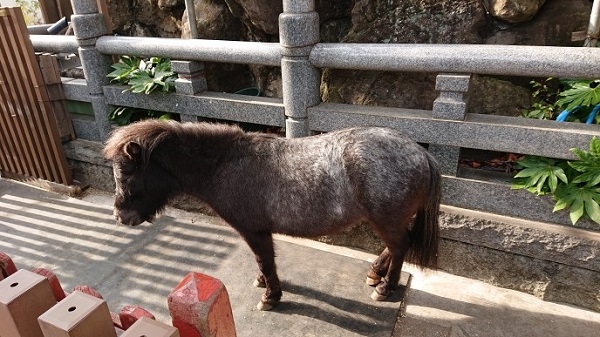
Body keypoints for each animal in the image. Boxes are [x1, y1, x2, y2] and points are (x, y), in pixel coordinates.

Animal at [103, 120, 440, 310]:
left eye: (127, 178)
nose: (121, 217)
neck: (226, 165)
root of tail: (420, 152)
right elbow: (262, 262)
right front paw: (264, 283)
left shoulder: (255, 231)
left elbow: (265, 259)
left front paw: (271, 295)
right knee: (395, 245)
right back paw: (375, 273)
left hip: (386, 218)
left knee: (400, 245)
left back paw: (386, 287)